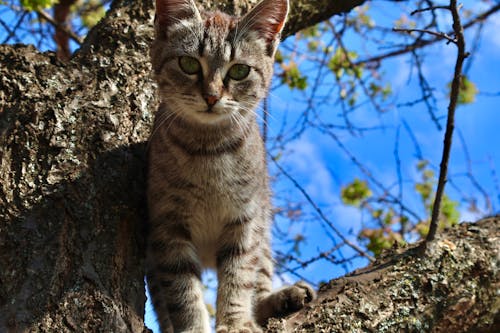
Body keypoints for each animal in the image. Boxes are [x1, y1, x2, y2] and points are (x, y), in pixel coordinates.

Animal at [146, 0, 314, 330]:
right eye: (189, 64)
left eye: (239, 70)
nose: (211, 96)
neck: (208, 149)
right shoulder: (167, 226)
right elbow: (183, 292)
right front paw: (194, 327)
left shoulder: (245, 221)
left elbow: (239, 277)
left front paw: (235, 323)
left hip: (263, 232)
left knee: (259, 279)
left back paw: (281, 299)